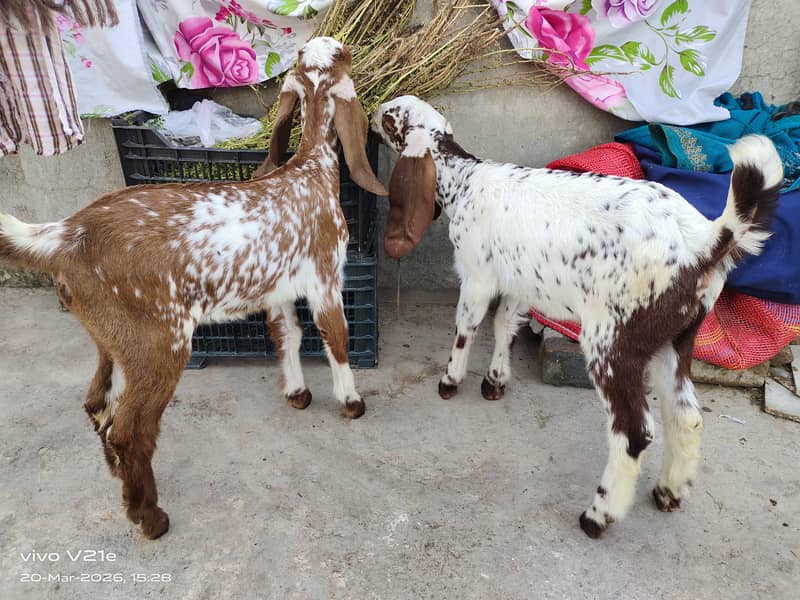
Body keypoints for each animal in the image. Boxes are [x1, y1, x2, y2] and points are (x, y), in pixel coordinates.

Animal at [0, 37, 387, 539]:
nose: (340, 43)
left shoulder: (277, 289)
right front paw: (351, 401)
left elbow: (288, 336)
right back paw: (149, 517)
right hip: (160, 341)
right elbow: (334, 338)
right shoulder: (324, 277)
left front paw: (297, 395)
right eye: (342, 55)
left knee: (96, 405)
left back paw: (120, 482)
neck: (309, 170)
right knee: (129, 429)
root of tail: (65, 235)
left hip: (111, 339)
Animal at [373, 95, 782, 539]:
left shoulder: (477, 276)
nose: (373, 111)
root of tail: (706, 240)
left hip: (613, 341)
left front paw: (451, 381)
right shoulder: (518, 283)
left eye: (391, 119)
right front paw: (495, 380)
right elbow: (504, 326)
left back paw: (598, 515)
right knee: (687, 416)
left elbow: (467, 328)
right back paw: (669, 492)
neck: (465, 179)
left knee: (634, 433)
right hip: (674, 338)